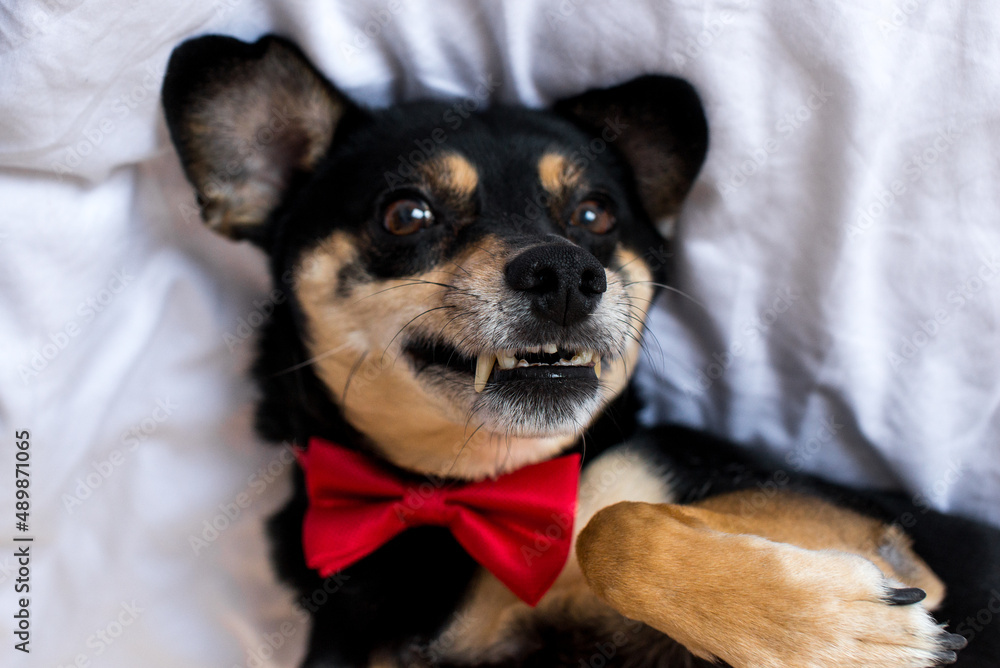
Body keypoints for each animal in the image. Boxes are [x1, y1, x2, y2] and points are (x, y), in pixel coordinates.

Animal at [160, 32, 996, 668]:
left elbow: (609, 525)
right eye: (406, 214)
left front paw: (840, 631)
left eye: (594, 214)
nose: (565, 273)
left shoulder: (870, 532)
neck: (464, 499)